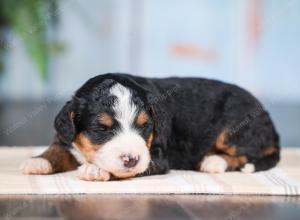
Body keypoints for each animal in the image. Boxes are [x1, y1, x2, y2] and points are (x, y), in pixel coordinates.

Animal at [19, 73, 280, 180]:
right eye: (101, 129)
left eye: (145, 127)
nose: (131, 159)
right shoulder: (67, 135)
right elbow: (57, 149)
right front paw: (37, 161)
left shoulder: (158, 156)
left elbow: (123, 171)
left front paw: (95, 170)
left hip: (234, 128)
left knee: (247, 153)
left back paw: (214, 161)